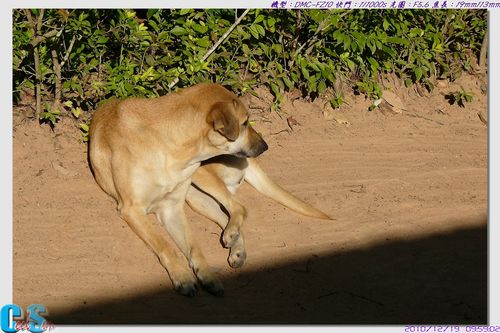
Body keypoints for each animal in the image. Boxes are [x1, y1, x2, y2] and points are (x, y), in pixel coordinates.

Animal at [90, 83, 270, 296]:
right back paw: (235, 245)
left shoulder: (172, 209)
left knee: (237, 207)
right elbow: (166, 247)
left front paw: (207, 274)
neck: (168, 146)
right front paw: (183, 277)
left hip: (199, 180)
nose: (265, 146)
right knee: (228, 213)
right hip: (197, 196)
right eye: (244, 123)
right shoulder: (132, 209)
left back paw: (234, 242)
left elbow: (194, 248)